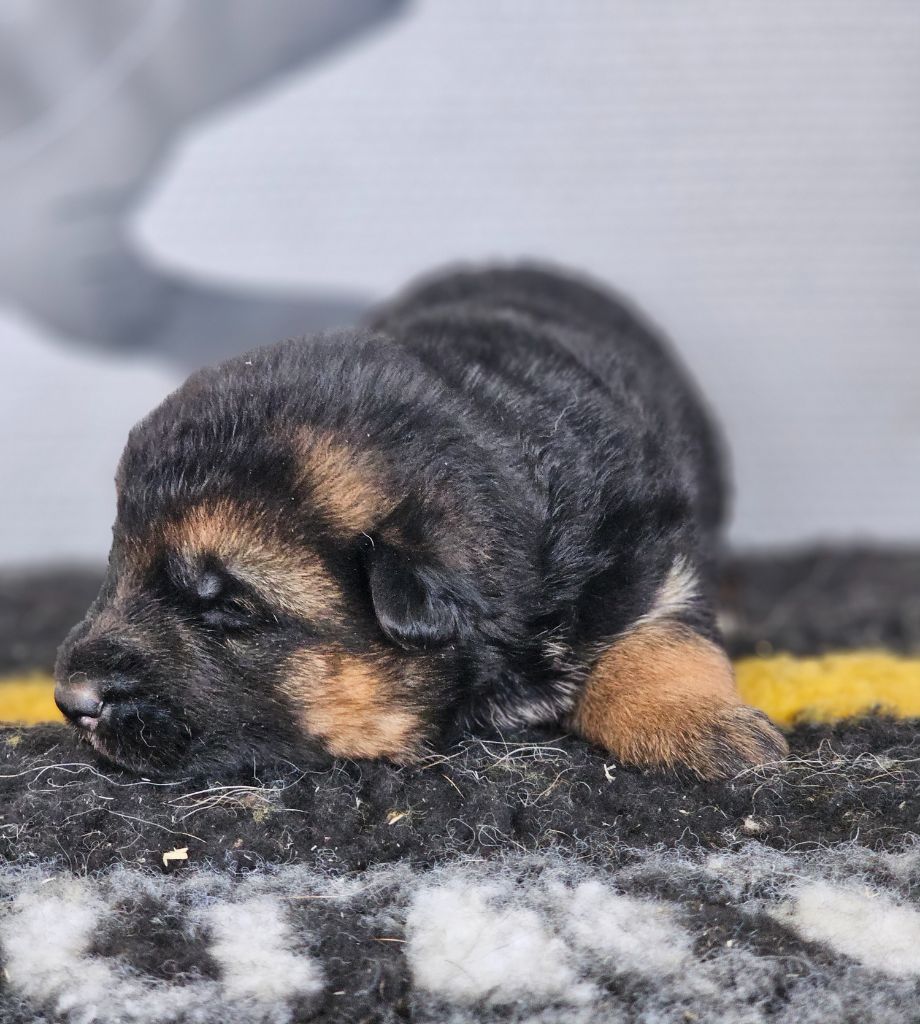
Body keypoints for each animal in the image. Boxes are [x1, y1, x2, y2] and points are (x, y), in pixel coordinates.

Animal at [54, 265, 788, 779]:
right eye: (117, 567)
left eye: (229, 607)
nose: (71, 699)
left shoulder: (653, 560)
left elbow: (661, 638)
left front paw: (702, 727)